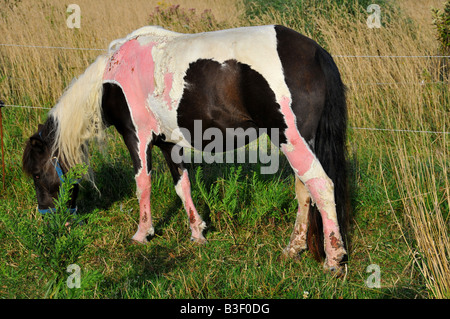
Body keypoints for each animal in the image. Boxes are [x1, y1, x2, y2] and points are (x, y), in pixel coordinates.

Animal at [22, 24, 350, 276]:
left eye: (37, 174)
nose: (50, 220)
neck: (112, 79)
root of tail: (316, 52)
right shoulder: (168, 143)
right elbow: (183, 186)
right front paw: (197, 232)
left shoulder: (136, 137)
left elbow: (143, 183)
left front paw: (142, 234)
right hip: (299, 142)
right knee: (304, 189)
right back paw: (293, 249)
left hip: (291, 139)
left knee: (321, 185)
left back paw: (334, 260)